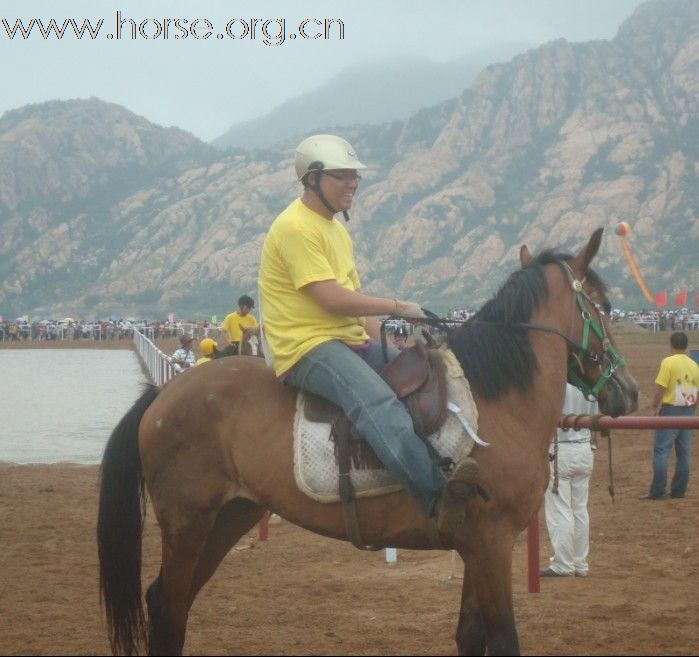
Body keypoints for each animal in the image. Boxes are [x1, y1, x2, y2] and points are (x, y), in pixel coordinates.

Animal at [98, 228, 640, 652]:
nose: (629, 390)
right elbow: (502, 639)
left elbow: (469, 635)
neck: (493, 400)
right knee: (168, 608)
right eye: (606, 305)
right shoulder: (491, 541)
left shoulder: (475, 546)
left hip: (229, 517)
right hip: (188, 524)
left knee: (170, 603)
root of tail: (165, 394)